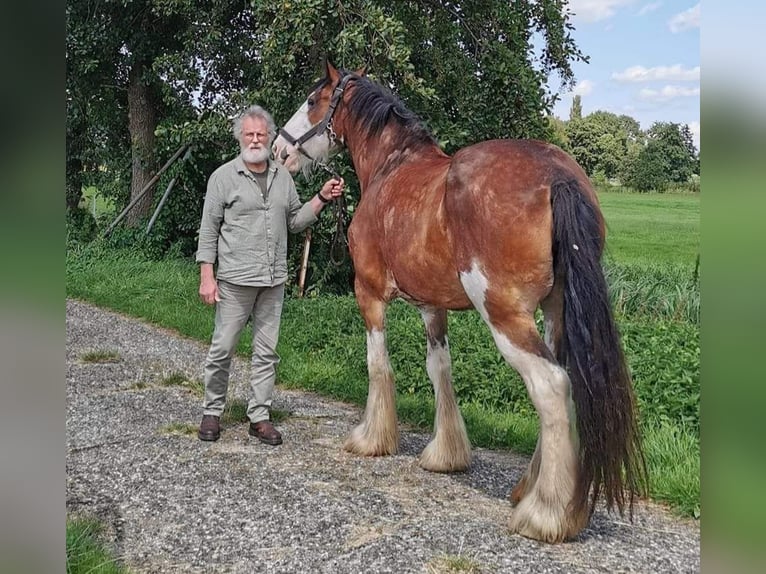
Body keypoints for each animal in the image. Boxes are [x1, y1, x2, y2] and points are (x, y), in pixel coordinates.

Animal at [272, 62, 644, 544]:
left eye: (313, 100)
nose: (279, 149)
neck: (392, 168)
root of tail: (557, 175)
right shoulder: (433, 307)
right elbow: (440, 370)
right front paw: (446, 454)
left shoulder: (368, 293)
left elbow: (378, 364)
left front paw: (371, 438)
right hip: (555, 313)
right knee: (563, 385)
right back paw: (535, 490)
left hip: (505, 315)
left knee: (550, 386)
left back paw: (546, 514)